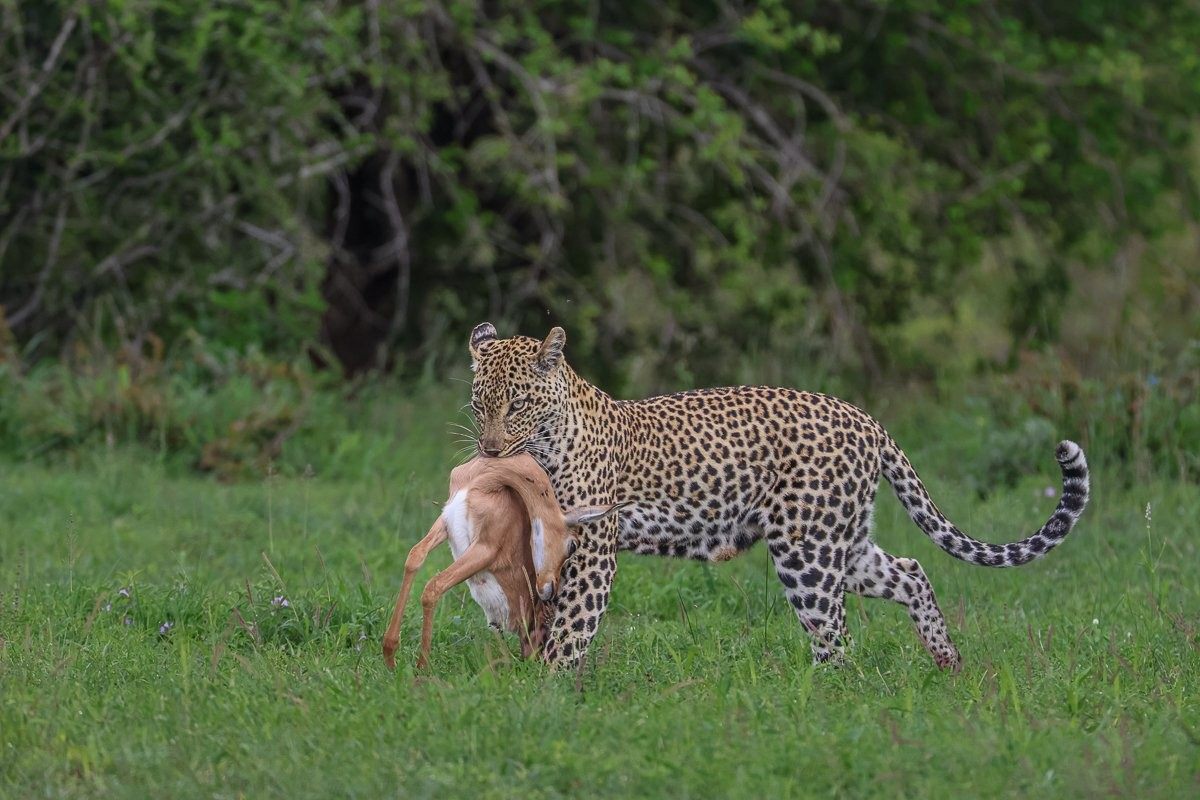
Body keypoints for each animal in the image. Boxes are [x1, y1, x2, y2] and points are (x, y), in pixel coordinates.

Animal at [382, 452, 627, 669]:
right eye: (573, 545)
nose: (550, 590)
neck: (482, 480)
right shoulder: (445, 521)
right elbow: (415, 558)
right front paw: (390, 657)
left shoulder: (485, 548)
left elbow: (433, 586)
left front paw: (422, 668)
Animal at [465, 322, 1090, 671]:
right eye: (478, 405)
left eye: (517, 404)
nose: (490, 451)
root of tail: (866, 418)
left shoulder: (593, 545)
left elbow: (575, 624)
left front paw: (549, 688)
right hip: (842, 543)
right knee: (910, 571)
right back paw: (947, 661)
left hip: (806, 553)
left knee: (837, 638)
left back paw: (819, 702)